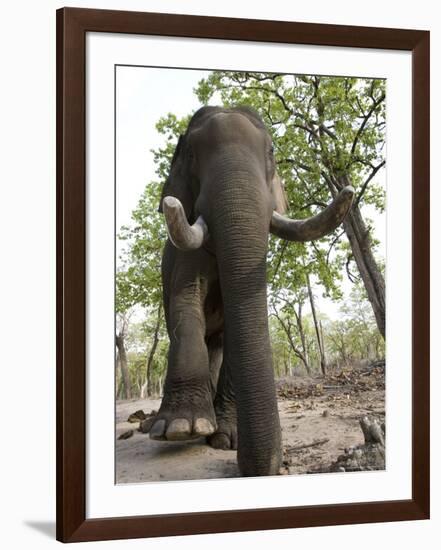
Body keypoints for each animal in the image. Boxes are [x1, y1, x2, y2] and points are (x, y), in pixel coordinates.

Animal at [148, 104, 354, 478]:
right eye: (191, 154)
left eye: (271, 152)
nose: (255, 464)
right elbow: (186, 303)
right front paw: (181, 428)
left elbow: (237, 323)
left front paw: (227, 439)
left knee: (216, 344)